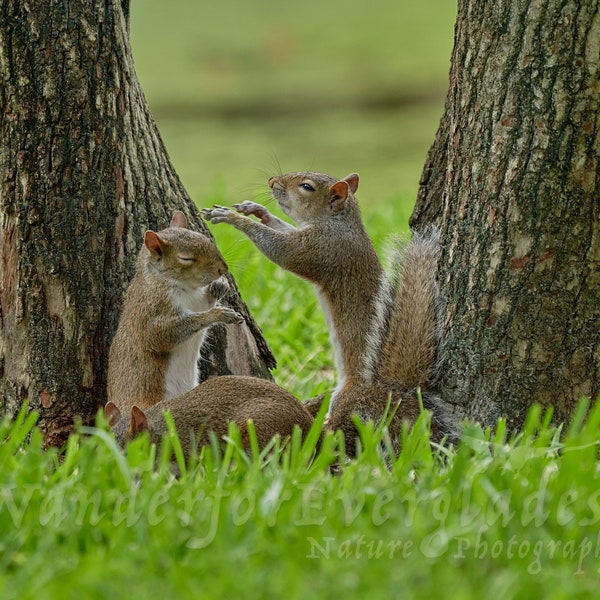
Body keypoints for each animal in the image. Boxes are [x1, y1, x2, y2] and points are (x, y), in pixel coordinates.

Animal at [108, 213, 241, 414]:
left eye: (207, 240)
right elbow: (160, 335)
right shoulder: (150, 309)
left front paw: (219, 286)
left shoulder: (198, 301)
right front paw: (218, 314)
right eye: (186, 258)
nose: (223, 269)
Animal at [202, 173, 460, 454]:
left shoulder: (322, 248)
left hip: (346, 399)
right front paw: (257, 210)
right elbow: (284, 228)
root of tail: (388, 390)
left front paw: (232, 217)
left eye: (306, 187)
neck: (339, 222)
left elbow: (282, 250)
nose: (271, 181)